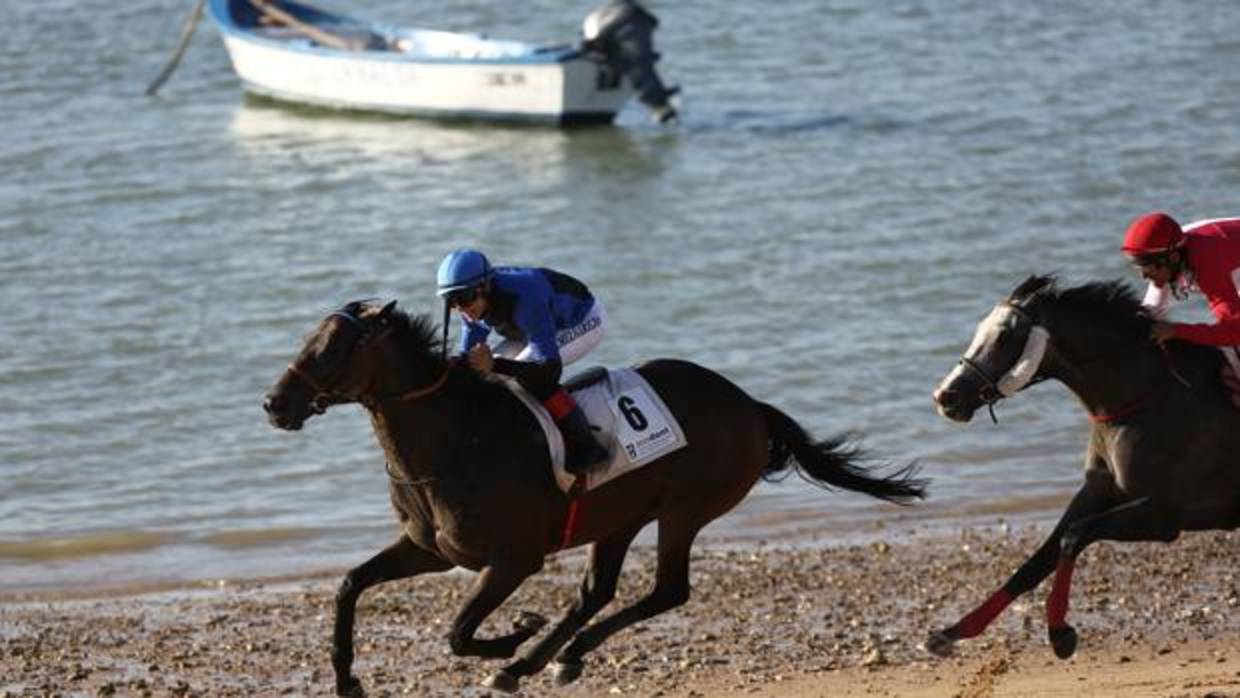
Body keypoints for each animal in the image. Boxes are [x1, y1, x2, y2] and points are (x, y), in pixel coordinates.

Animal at [261, 301, 927, 698]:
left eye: (334, 349)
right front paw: (345, 677)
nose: (274, 404)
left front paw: (514, 633)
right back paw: (552, 659)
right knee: (597, 592)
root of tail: (750, 406)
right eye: (308, 339)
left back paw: (534, 659)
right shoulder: (431, 549)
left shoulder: (513, 560)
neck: (454, 439)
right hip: (621, 517)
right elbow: (351, 584)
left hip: (684, 508)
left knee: (667, 590)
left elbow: (457, 631)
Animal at [932, 273, 1240, 659]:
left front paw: (1060, 633)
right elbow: (1039, 559)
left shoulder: (1164, 516)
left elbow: (1074, 536)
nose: (946, 397)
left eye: (1003, 336)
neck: (1146, 397)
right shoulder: (1096, 490)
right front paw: (952, 631)